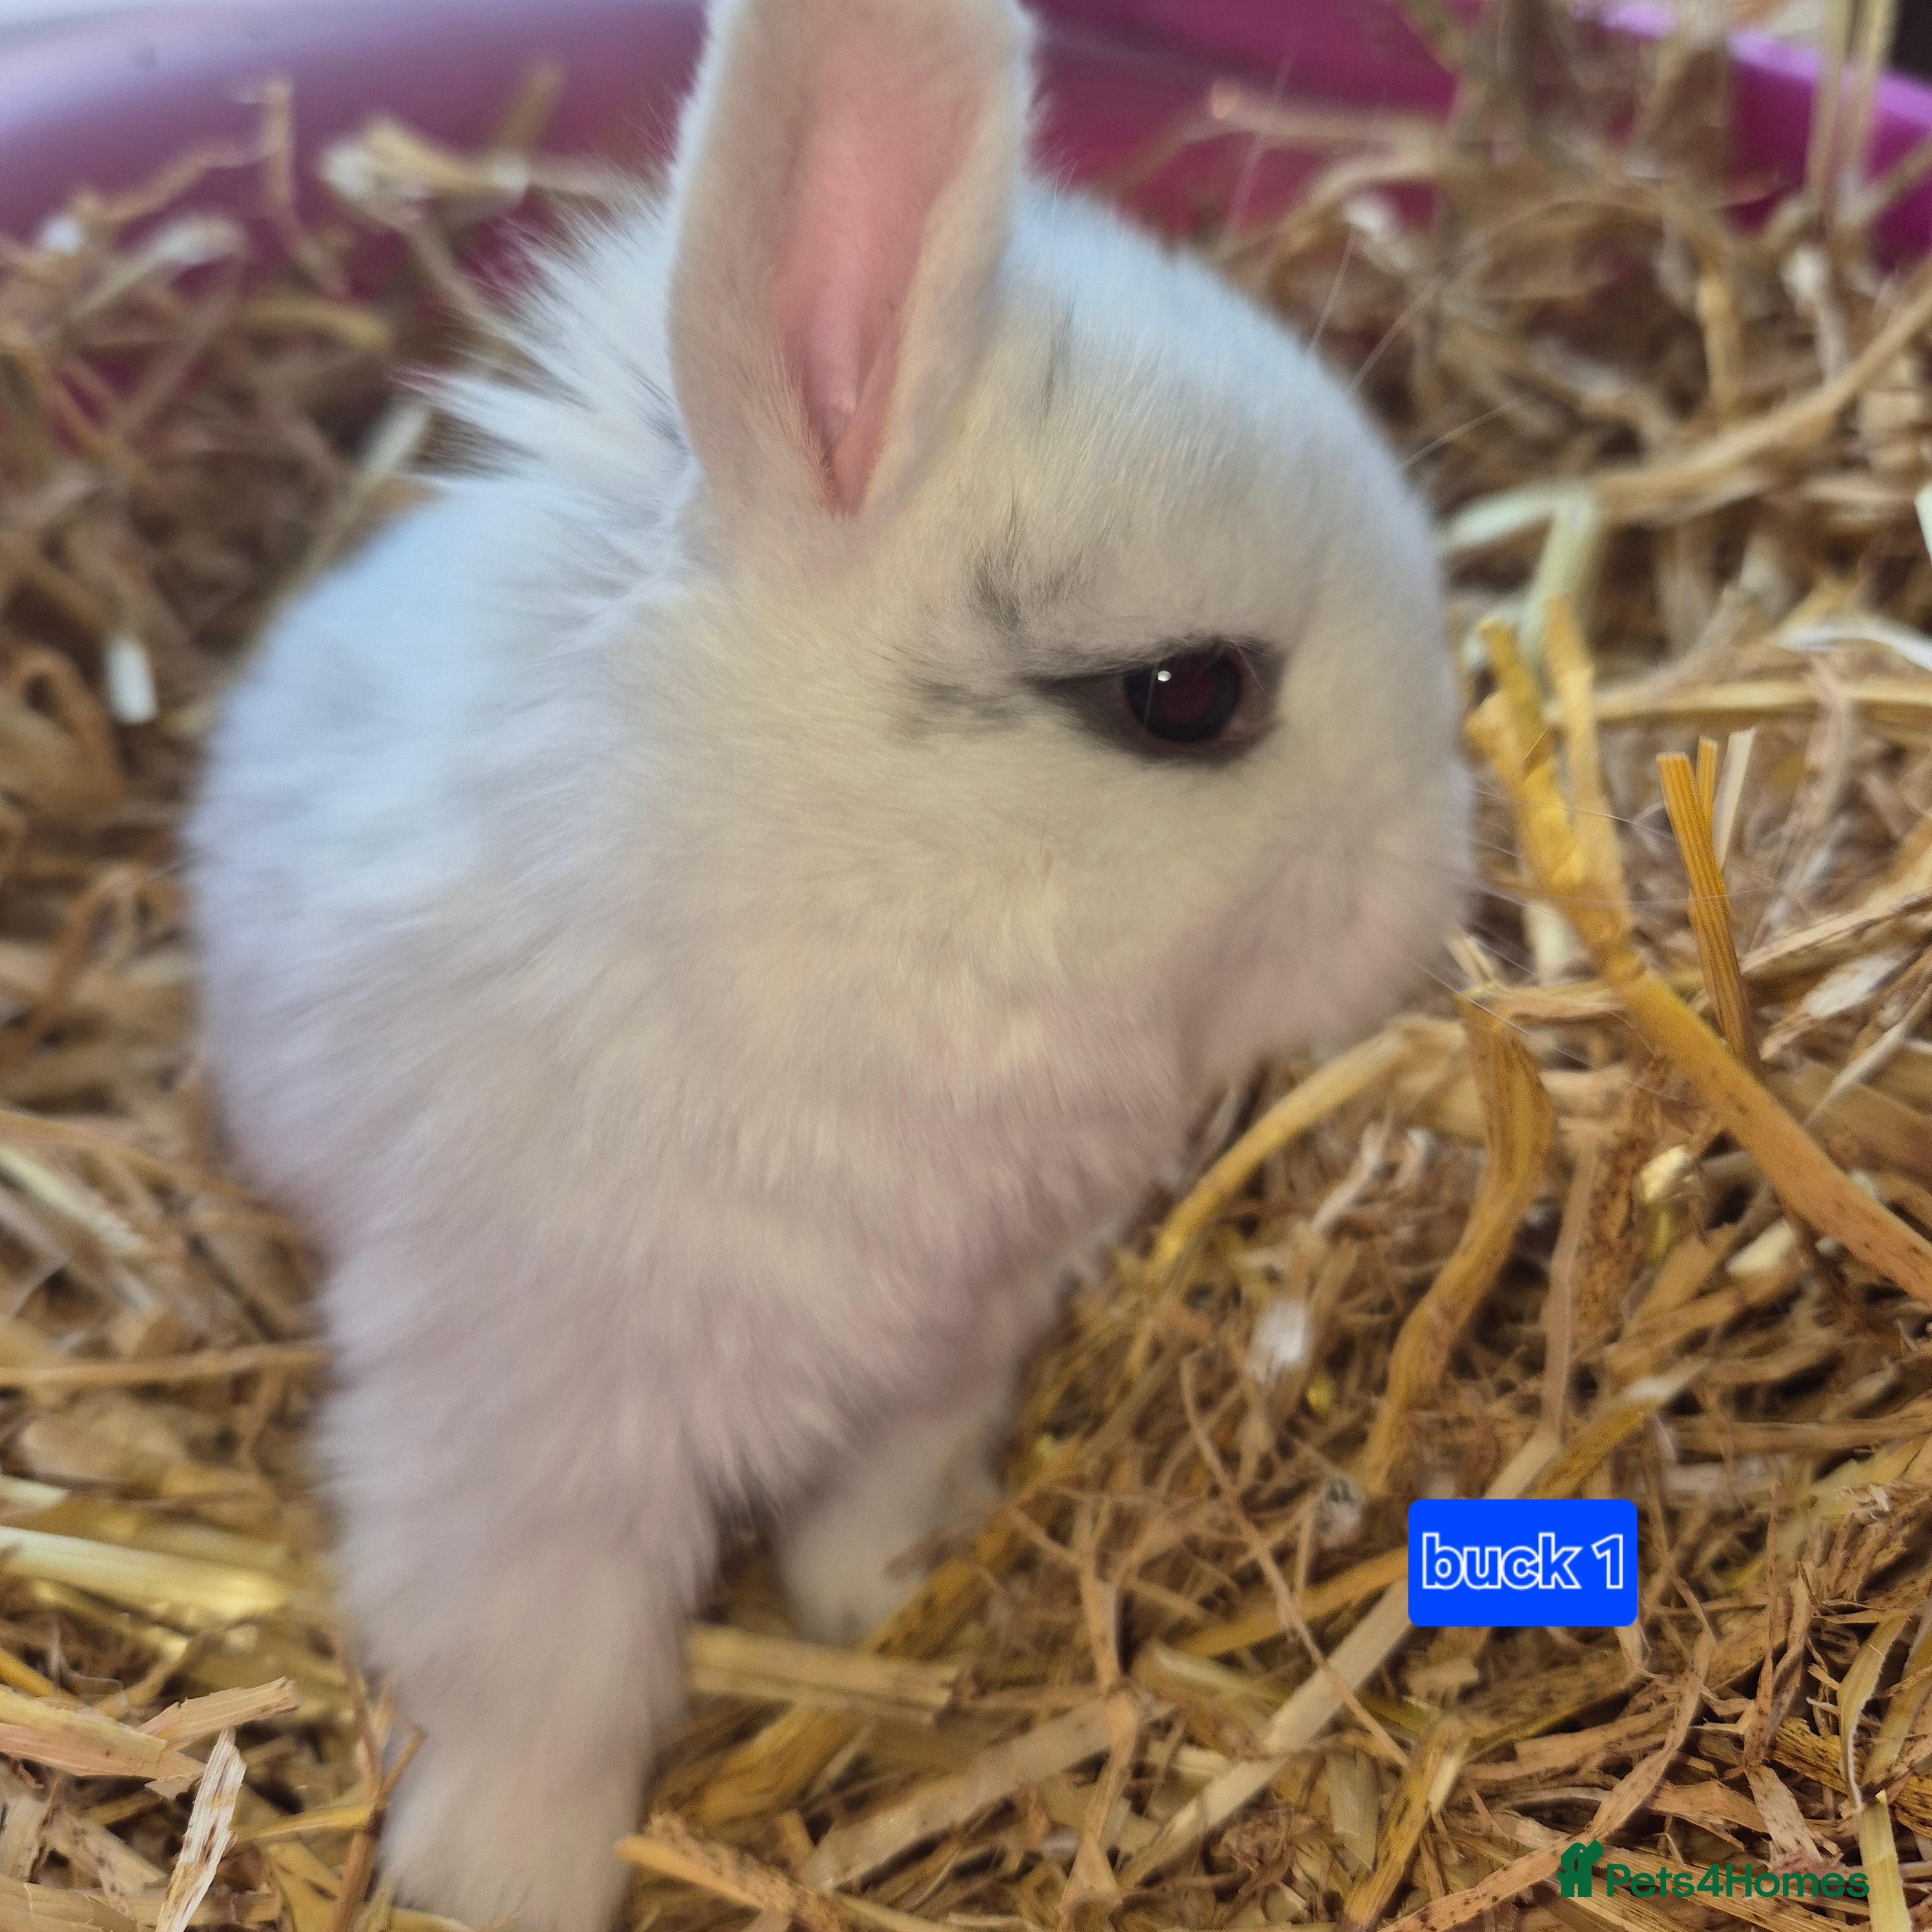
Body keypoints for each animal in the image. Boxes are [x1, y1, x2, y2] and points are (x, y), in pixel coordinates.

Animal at [186, 0, 1470, 1926]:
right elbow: (541, 1697)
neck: (854, 904)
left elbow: (874, 1510)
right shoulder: (524, 1453)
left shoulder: (945, 1358)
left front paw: (879, 1611)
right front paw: (503, 1882)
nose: (1443, 872)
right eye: (1187, 695)